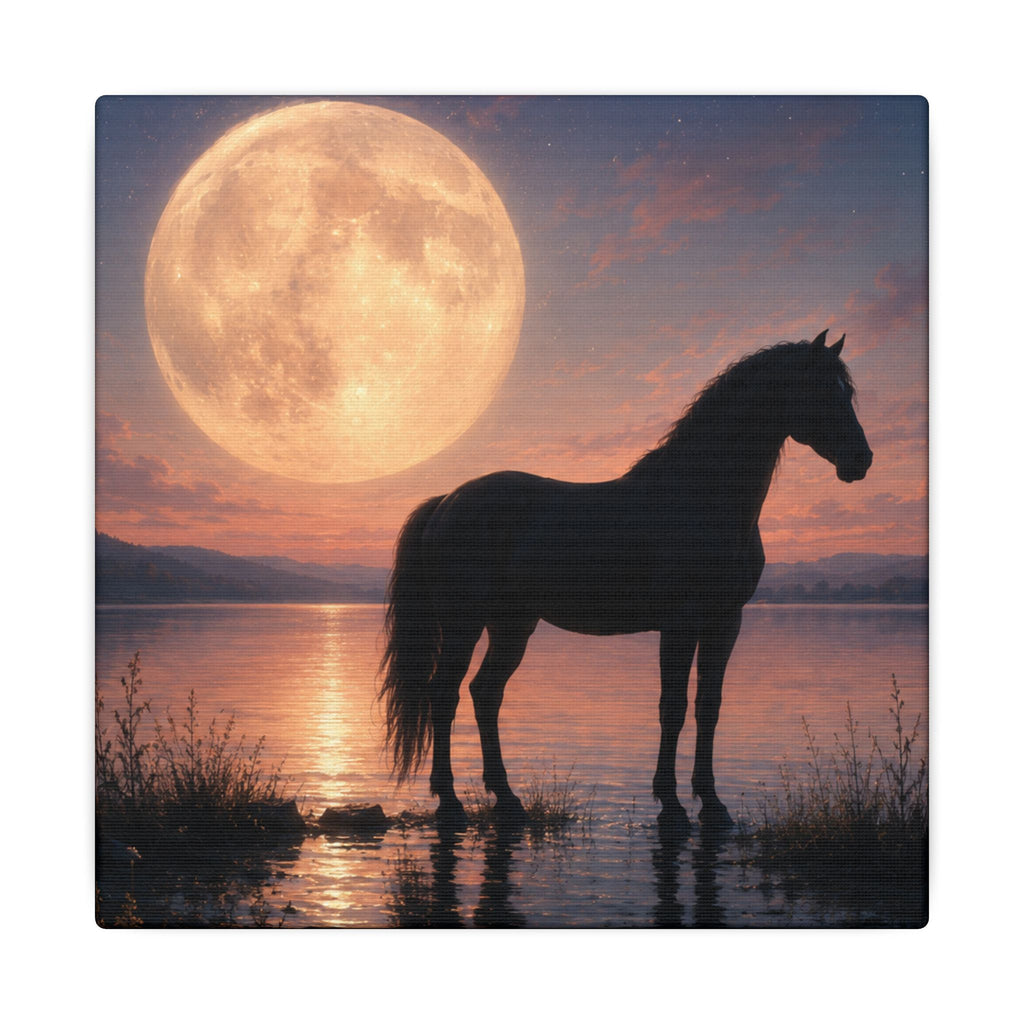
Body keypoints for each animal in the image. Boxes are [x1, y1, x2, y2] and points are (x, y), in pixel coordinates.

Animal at [378, 330, 872, 832]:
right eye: (820, 389)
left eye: (846, 392)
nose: (861, 460)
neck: (701, 498)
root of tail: (447, 500)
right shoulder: (679, 624)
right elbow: (672, 707)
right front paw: (671, 804)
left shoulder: (725, 622)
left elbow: (708, 707)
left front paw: (713, 804)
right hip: (465, 624)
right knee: (444, 695)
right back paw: (450, 801)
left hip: (512, 626)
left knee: (485, 694)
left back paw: (507, 798)